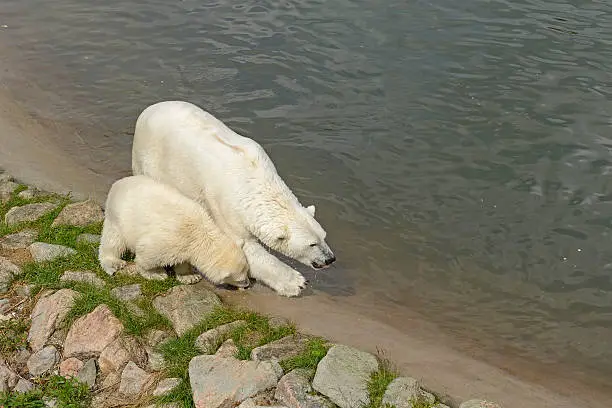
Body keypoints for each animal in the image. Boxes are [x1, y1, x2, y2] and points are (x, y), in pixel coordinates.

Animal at [98, 175, 249, 286]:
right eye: (240, 279)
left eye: (247, 271)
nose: (247, 284)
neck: (200, 233)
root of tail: (118, 183)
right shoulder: (169, 241)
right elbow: (146, 256)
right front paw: (156, 274)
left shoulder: (185, 246)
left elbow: (182, 260)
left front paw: (190, 277)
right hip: (118, 217)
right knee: (113, 241)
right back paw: (113, 264)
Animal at [131, 99, 338, 296]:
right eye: (311, 244)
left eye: (323, 236)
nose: (330, 259)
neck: (253, 180)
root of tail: (148, 110)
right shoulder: (225, 206)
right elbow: (244, 247)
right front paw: (296, 283)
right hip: (148, 156)